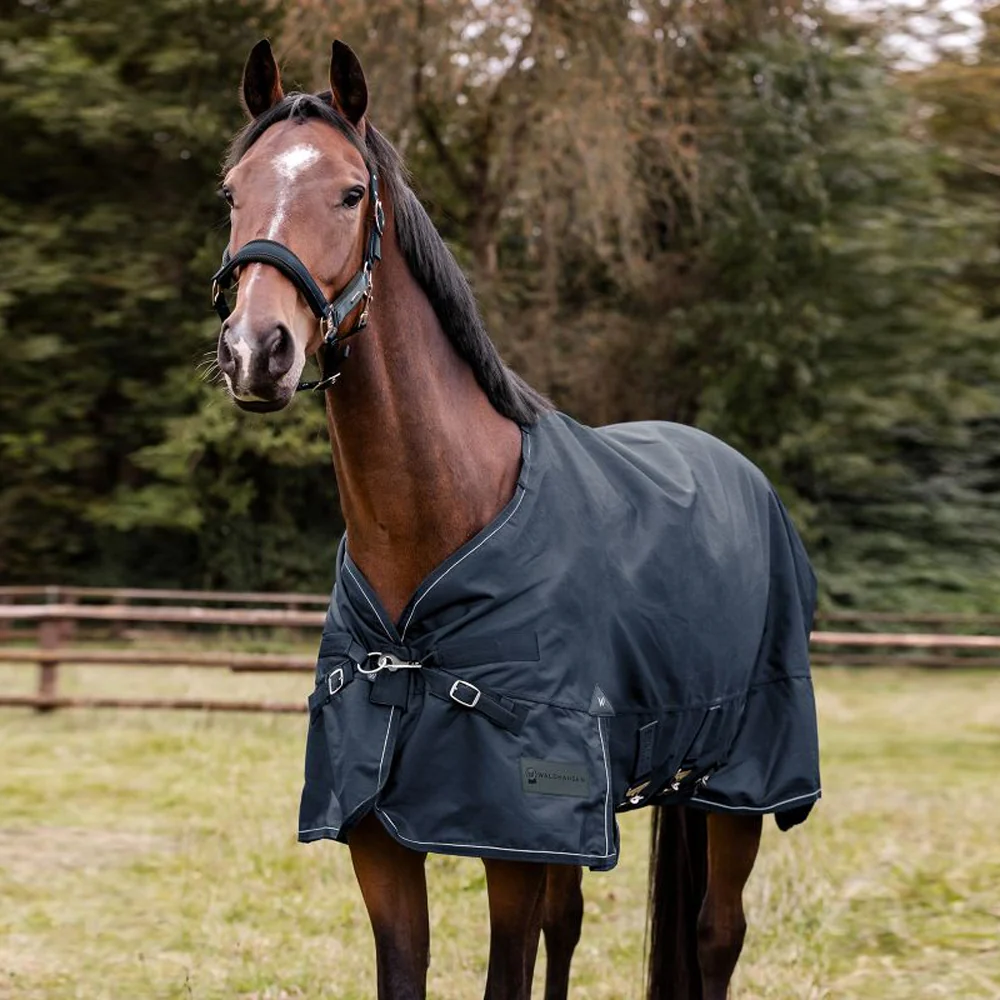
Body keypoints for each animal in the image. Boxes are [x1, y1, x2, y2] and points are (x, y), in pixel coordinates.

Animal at [210, 38, 820, 1000]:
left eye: (349, 193)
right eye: (233, 192)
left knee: (718, 932)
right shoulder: (385, 837)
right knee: (573, 927)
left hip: (738, 782)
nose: (255, 351)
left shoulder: (515, 839)